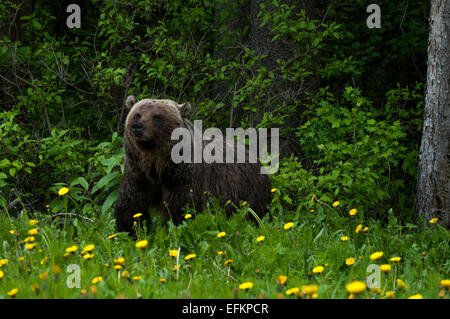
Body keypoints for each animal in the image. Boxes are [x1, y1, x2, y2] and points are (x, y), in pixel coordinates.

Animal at [115, 96, 270, 234]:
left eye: (157, 117)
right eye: (137, 115)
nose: (137, 127)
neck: (157, 163)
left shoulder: (184, 176)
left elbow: (181, 207)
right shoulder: (138, 172)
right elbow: (131, 204)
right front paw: (130, 231)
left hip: (246, 189)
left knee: (254, 212)